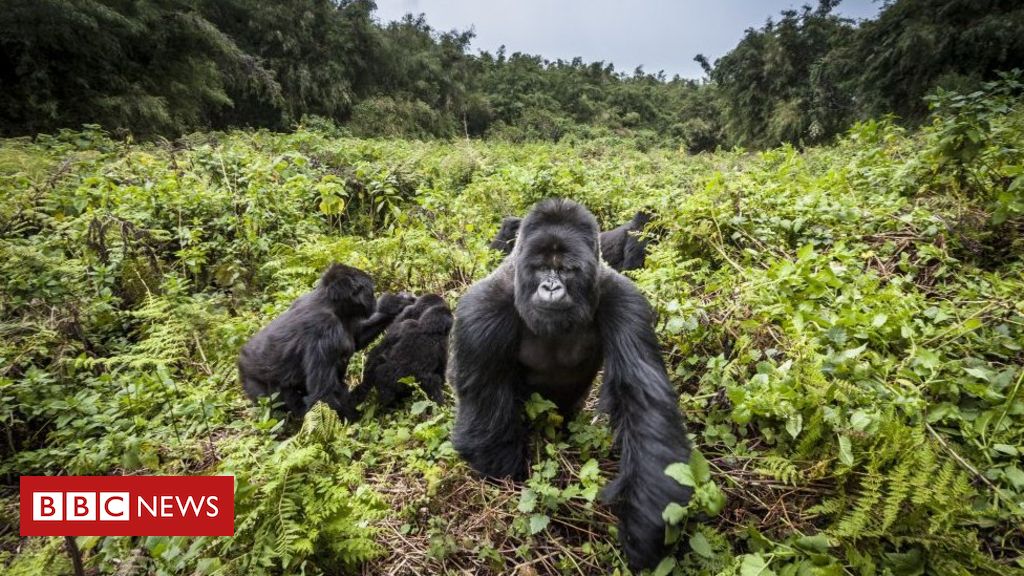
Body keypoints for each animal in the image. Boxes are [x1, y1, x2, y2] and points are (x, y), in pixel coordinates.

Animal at [238, 264, 411, 416]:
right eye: (371, 292)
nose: (374, 301)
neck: (329, 302)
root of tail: (241, 357)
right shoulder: (325, 329)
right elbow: (322, 394)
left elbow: (356, 339)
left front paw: (396, 306)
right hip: (253, 382)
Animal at [452, 198, 692, 569]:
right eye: (539, 268)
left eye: (566, 270)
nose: (551, 287)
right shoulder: (481, 311)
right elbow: (485, 418)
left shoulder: (626, 301)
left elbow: (643, 404)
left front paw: (647, 531)